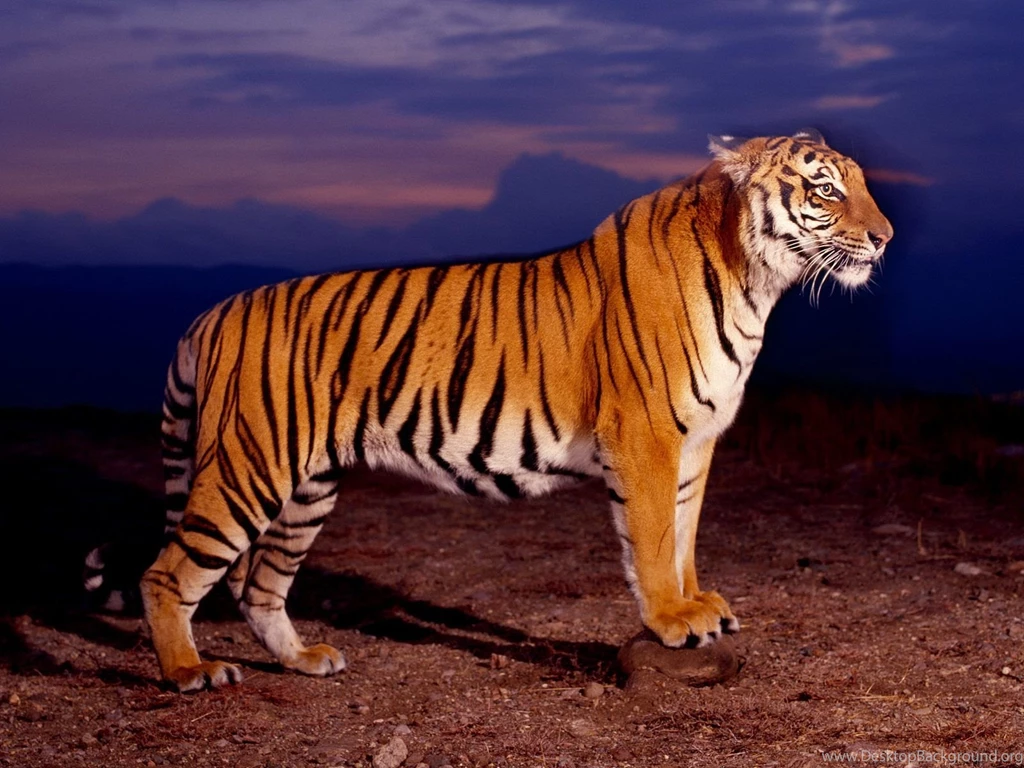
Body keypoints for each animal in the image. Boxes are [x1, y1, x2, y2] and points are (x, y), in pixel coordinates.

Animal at [127, 129, 892, 692]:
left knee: (259, 585)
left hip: (308, 487)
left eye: (862, 184)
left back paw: (306, 660)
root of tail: (214, 311)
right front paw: (672, 619)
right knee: (169, 573)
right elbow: (651, 538)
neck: (756, 281)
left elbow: (684, 533)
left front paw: (698, 604)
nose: (884, 237)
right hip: (250, 465)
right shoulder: (646, 434)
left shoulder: (698, 441)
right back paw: (189, 671)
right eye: (825, 188)